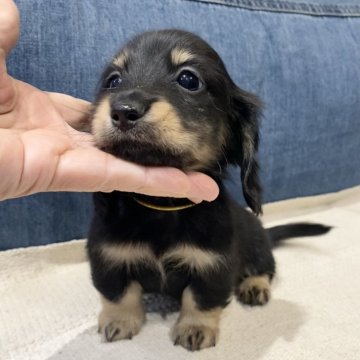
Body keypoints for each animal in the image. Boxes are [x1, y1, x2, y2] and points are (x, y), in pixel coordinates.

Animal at [86, 29, 330, 350]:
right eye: (113, 81)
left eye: (189, 79)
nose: (123, 110)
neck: (161, 206)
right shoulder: (107, 258)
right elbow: (118, 294)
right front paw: (120, 321)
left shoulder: (213, 265)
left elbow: (200, 299)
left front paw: (195, 328)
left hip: (258, 246)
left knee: (265, 268)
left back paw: (254, 286)